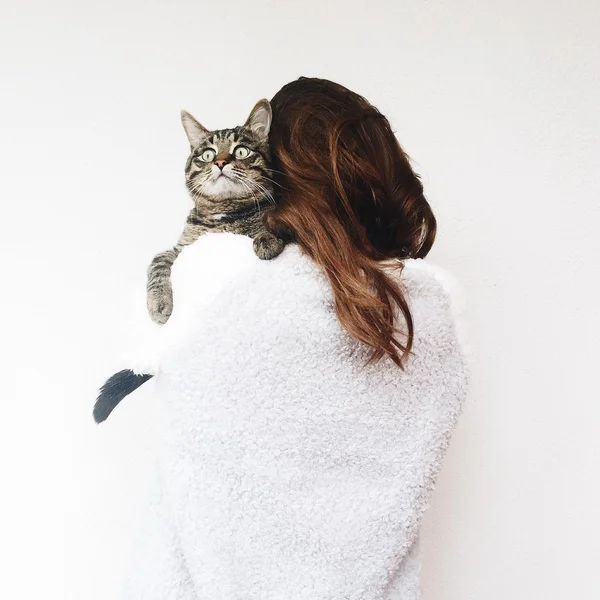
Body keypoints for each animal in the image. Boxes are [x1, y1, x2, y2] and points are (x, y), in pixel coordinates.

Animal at [146, 98, 284, 324]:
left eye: (241, 151)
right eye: (208, 154)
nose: (220, 162)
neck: (222, 213)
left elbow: (269, 227)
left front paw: (267, 239)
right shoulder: (181, 248)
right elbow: (157, 261)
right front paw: (158, 303)